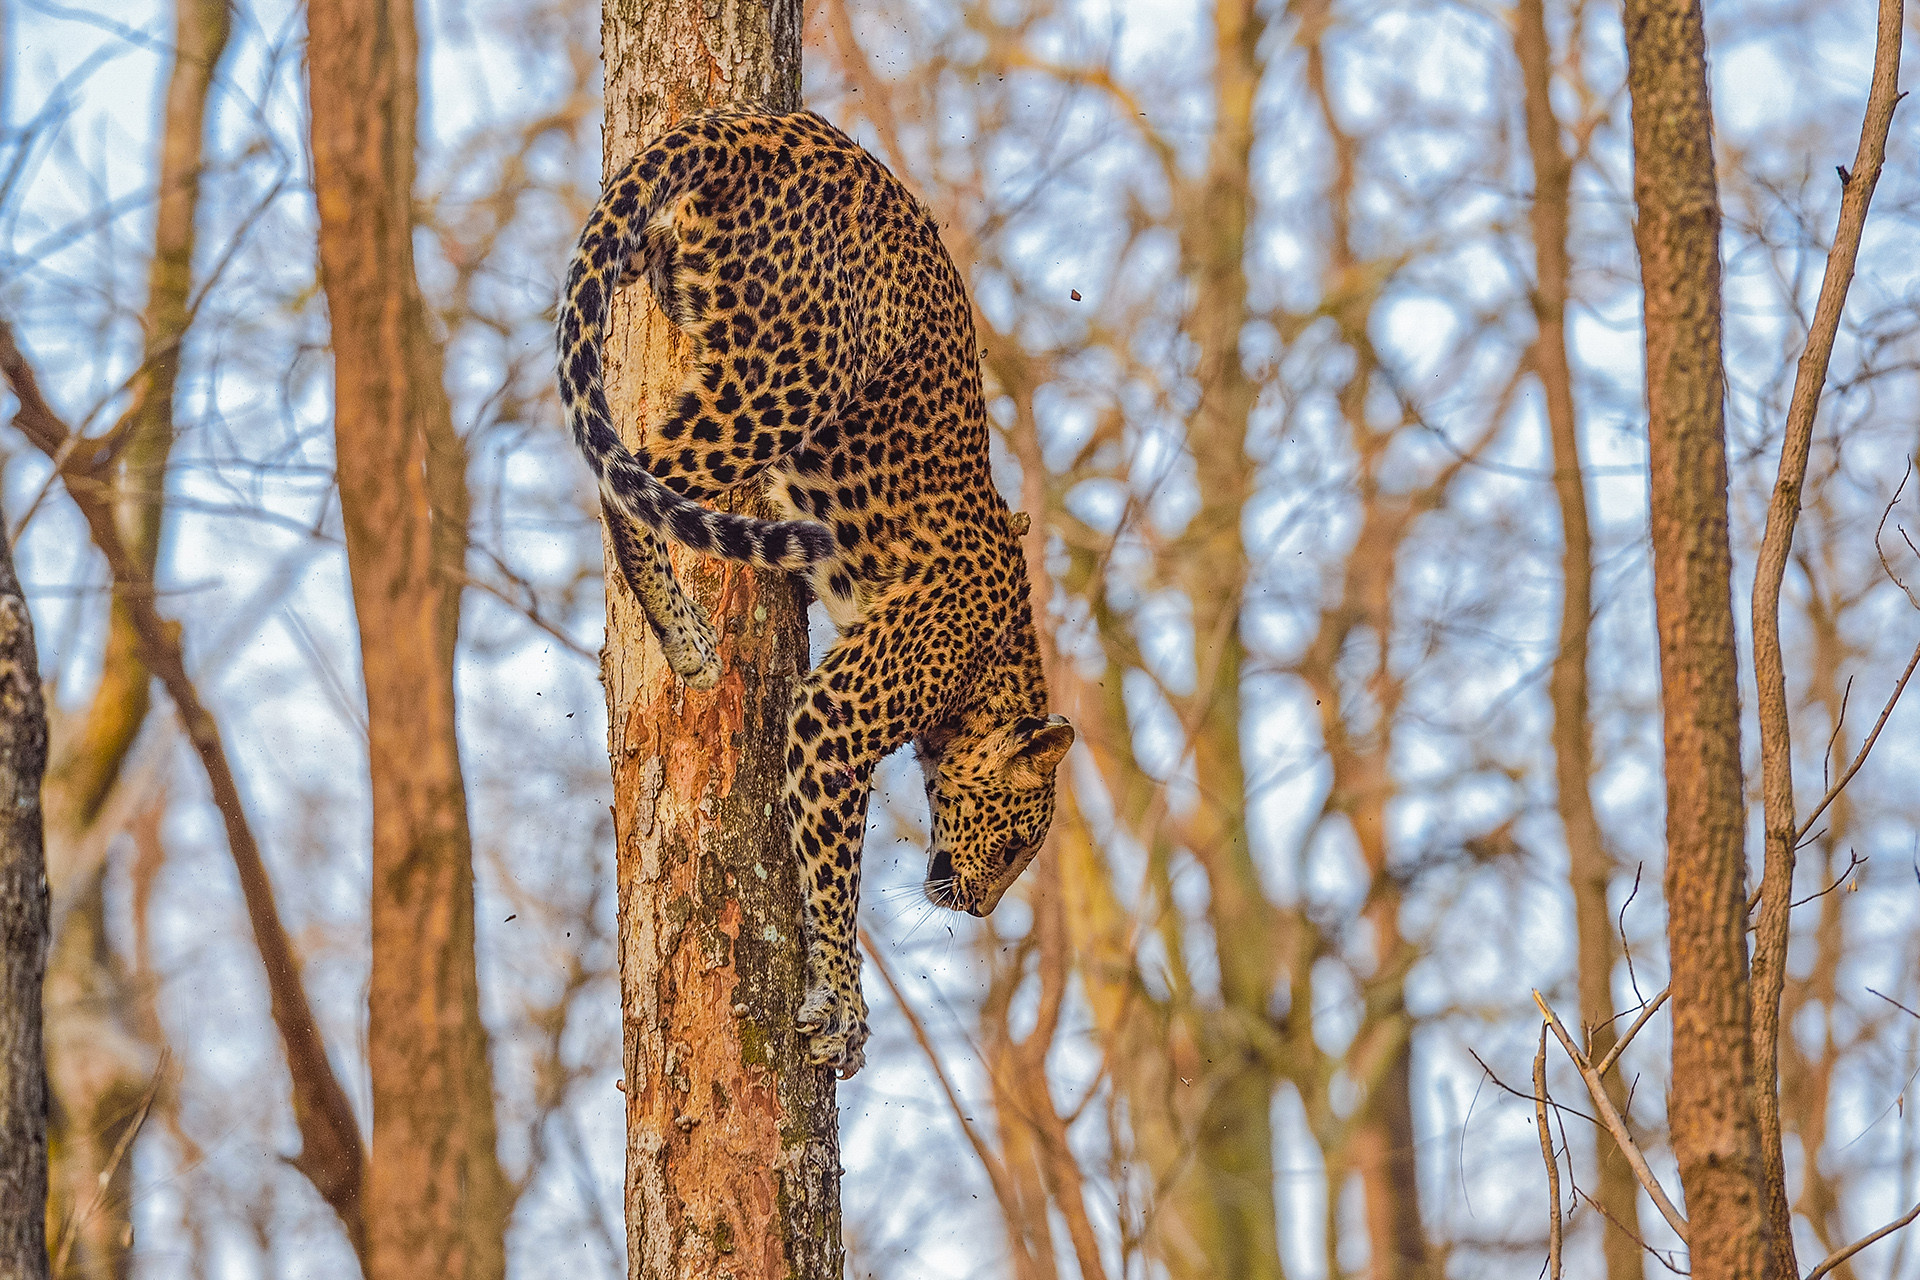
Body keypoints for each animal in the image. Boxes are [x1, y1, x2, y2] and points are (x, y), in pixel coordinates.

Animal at [556, 109, 1074, 1077]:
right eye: (1020, 840)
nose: (981, 908)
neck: (993, 673)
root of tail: (750, 125)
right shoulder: (837, 716)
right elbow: (836, 876)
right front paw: (842, 1003)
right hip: (785, 384)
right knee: (633, 471)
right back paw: (685, 636)